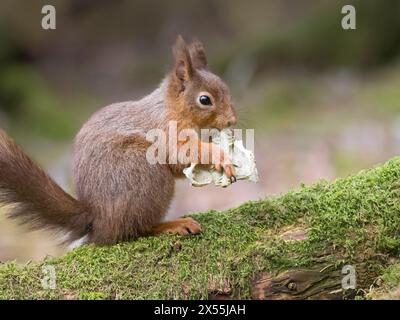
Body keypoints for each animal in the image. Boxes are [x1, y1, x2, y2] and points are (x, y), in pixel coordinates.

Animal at [0, 37, 238, 248]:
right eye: (204, 100)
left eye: (227, 90)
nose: (232, 121)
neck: (172, 108)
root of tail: (98, 219)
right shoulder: (167, 131)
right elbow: (182, 153)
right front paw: (220, 156)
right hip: (146, 173)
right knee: (135, 229)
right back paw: (173, 225)